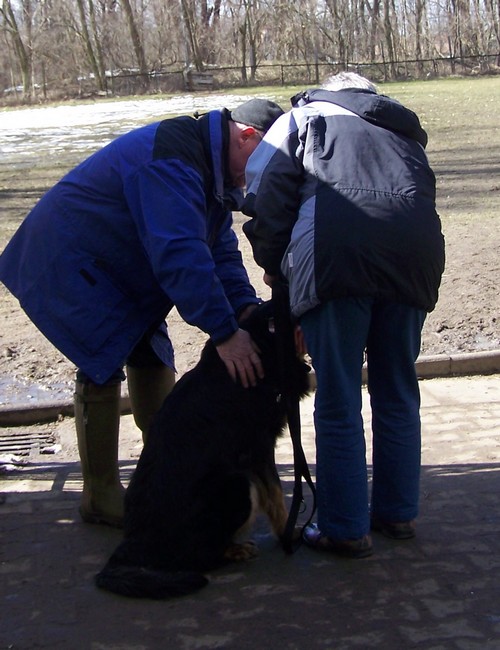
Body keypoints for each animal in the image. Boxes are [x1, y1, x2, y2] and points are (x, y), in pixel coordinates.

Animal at [95, 298, 310, 596]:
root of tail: (132, 545)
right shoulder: (259, 450)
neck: (266, 342)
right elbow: (276, 495)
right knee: (202, 557)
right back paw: (234, 550)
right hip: (237, 484)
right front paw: (287, 533)